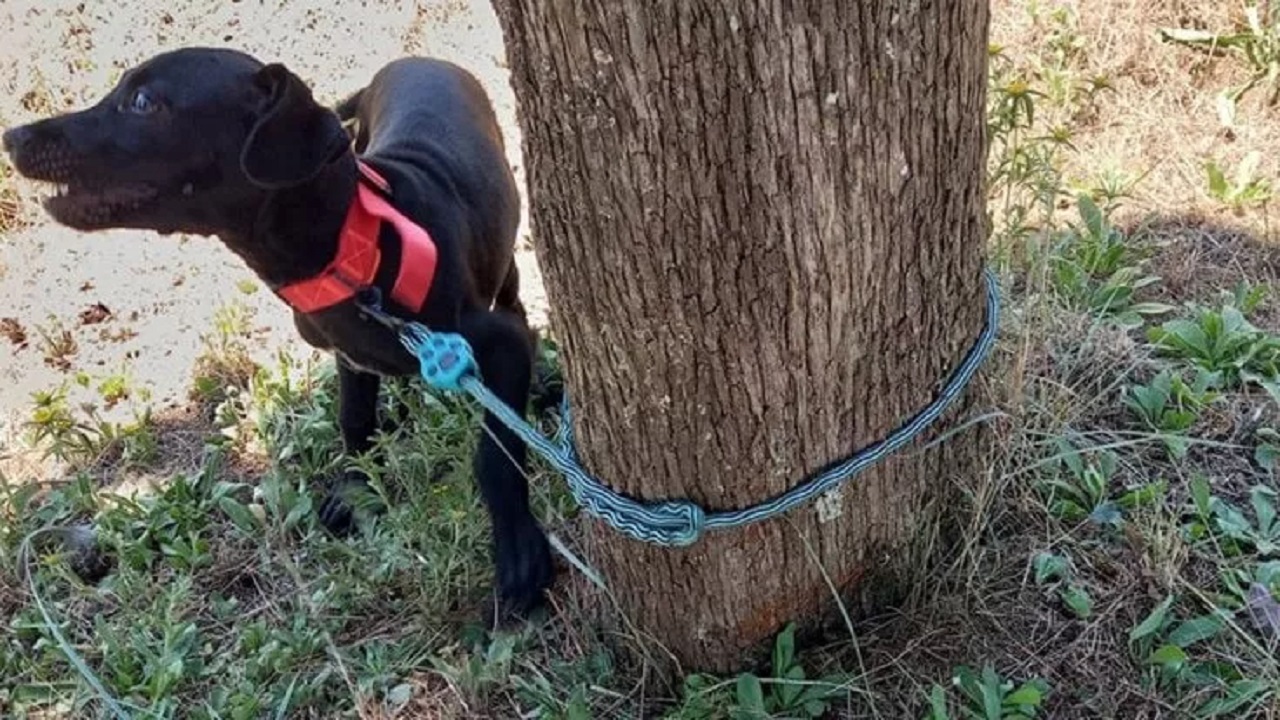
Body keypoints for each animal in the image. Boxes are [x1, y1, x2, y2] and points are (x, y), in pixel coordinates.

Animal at [5, 46, 555, 617]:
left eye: (142, 101)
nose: (13, 137)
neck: (351, 251)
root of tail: (417, 59)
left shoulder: (499, 343)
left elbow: (496, 451)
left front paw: (518, 551)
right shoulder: (351, 356)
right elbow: (354, 421)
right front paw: (357, 489)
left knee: (514, 295)